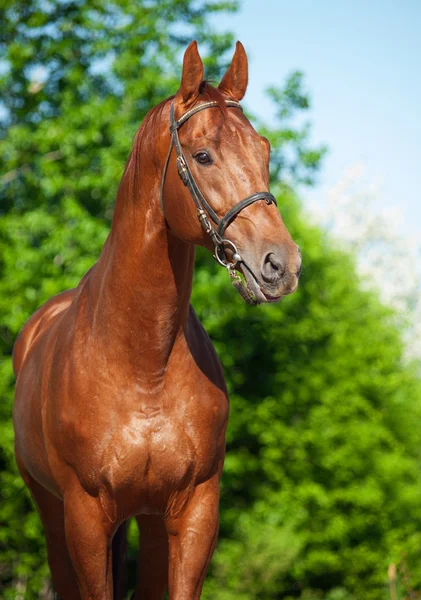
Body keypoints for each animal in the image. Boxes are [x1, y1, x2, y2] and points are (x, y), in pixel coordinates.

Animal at [12, 39, 302, 596]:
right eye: (203, 155)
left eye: (264, 151)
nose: (282, 264)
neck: (144, 363)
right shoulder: (85, 517)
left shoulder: (194, 513)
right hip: (51, 511)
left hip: (144, 520)